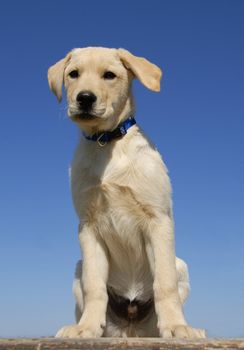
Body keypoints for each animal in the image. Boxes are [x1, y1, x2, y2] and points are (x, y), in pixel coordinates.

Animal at [48, 47, 205, 340]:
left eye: (109, 75)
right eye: (73, 74)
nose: (84, 98)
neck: (106, 142)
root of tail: (131, 327)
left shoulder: (158, 219)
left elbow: (164, 282)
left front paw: (177, 327)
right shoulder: (88, 227)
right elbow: (94, 285)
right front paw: (86, 327)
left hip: (181, 265)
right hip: (78, 268)